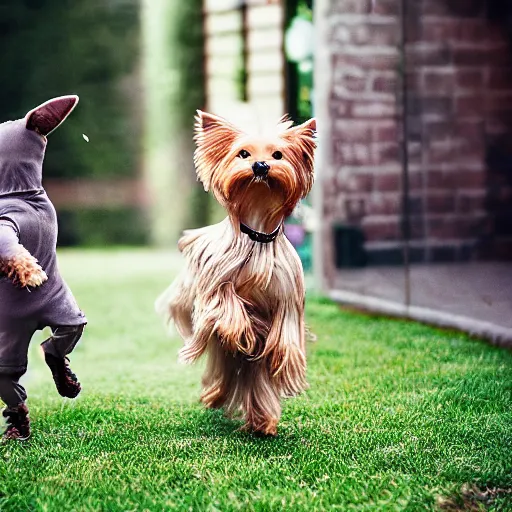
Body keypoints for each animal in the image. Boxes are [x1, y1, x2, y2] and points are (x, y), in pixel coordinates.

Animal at [156, 110, 316, 434]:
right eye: (244, 153)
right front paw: (242, 328)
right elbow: (226, 303)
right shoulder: (215, 286)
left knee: (255, 377)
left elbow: (284, 334)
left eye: (278, 155)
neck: (257, 232)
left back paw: (262, 420)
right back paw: (217, 395)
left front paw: (280, 354)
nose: (261, 165)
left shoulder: (288, 296)